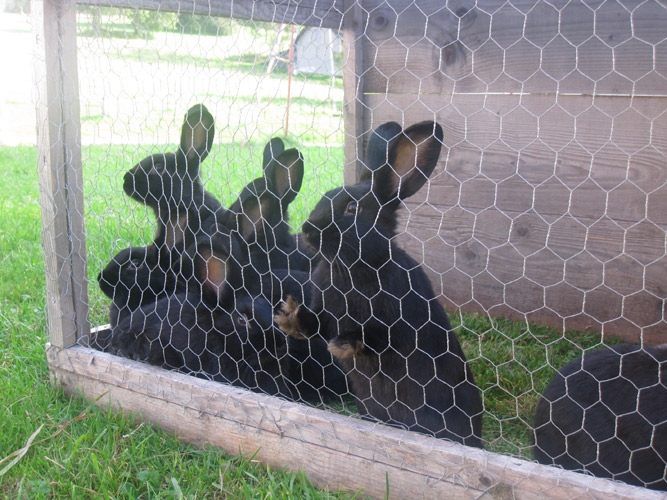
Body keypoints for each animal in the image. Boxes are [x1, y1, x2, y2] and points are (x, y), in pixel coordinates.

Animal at [274, 120, 482, 446]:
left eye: (352, 209)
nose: (308, 230)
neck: (351, 267)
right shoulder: (324, 309)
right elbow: (314, 324)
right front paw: (288, 317)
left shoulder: (399, 321)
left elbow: (378, 338)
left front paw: (344, 345)